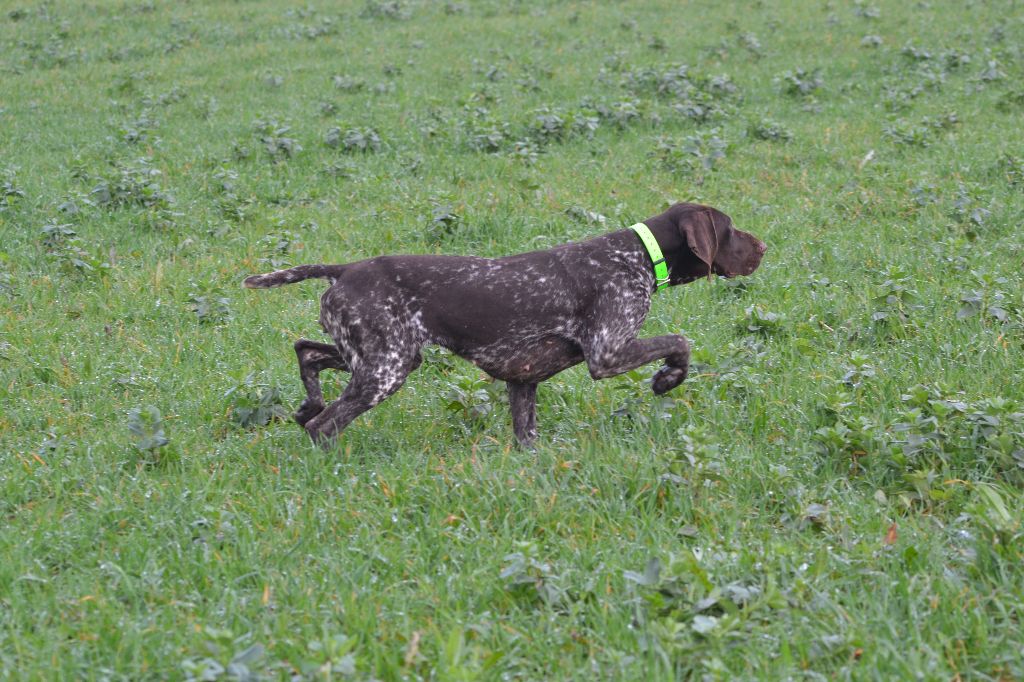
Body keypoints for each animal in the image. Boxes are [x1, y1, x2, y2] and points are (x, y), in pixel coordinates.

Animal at [243, 201, 765, 446]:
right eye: (730, 229)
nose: (763, 247)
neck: (637, 255)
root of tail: (345, 269)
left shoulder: (524, 381)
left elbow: (527, 436)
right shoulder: (608, 352)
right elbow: (680, 341)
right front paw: (666, 381)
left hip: (382, 357)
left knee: (306, 351)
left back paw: (306, 404)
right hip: (386, 370)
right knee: (326, 425)